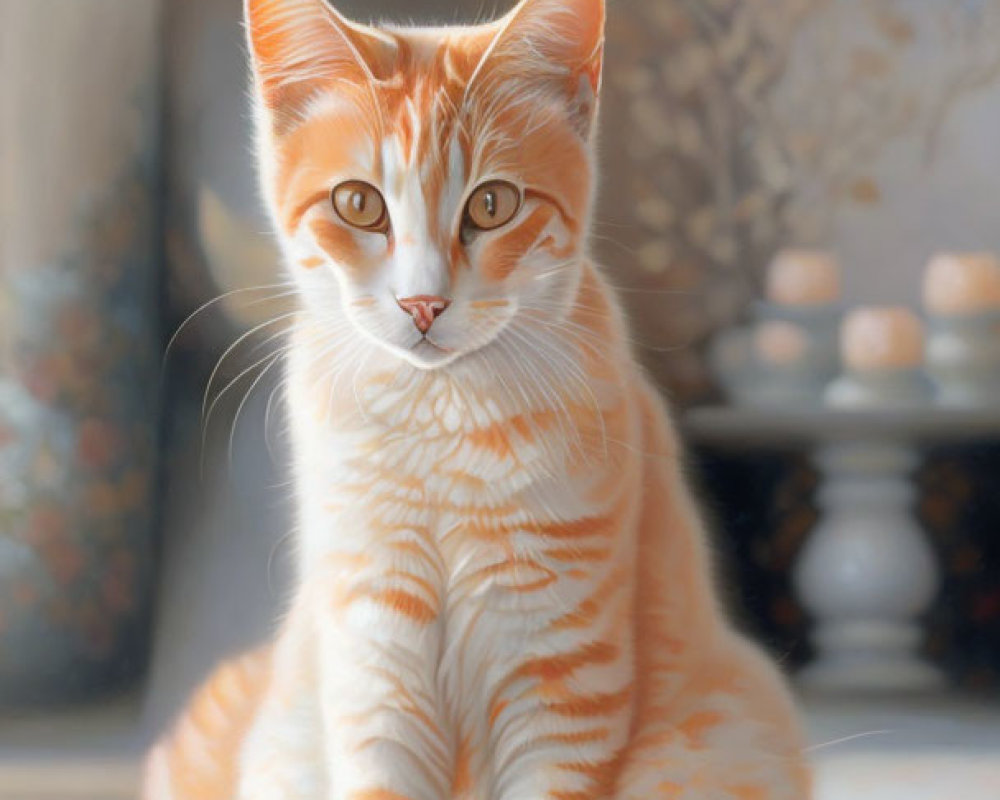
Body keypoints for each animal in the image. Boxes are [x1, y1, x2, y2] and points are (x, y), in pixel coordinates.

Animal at [143, 0, 812, 796]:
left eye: (493, 204)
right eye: (358, 204)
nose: (423, 302)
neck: (439, 421)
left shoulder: (562, 680)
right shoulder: (375, 661)